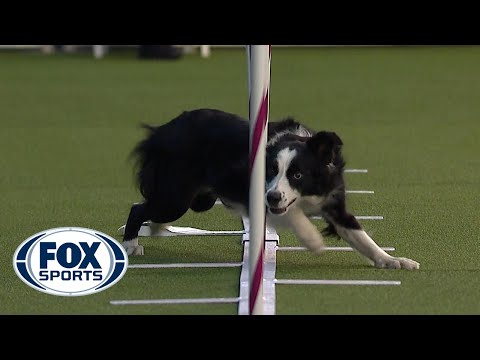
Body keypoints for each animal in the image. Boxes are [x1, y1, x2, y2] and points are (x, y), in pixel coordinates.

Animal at [123, 108, 420, 268]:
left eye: (298, 174)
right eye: (271, 172)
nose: (275, 196)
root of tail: (163, 130)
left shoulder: (334, 202)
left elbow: (362, 237)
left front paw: (394, 261)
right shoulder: (262, 196)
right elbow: (294, 214)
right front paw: (312, 240)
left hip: (198, 200)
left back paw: (157, 230)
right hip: (176, 198)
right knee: (138, 208)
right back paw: (130, 245)